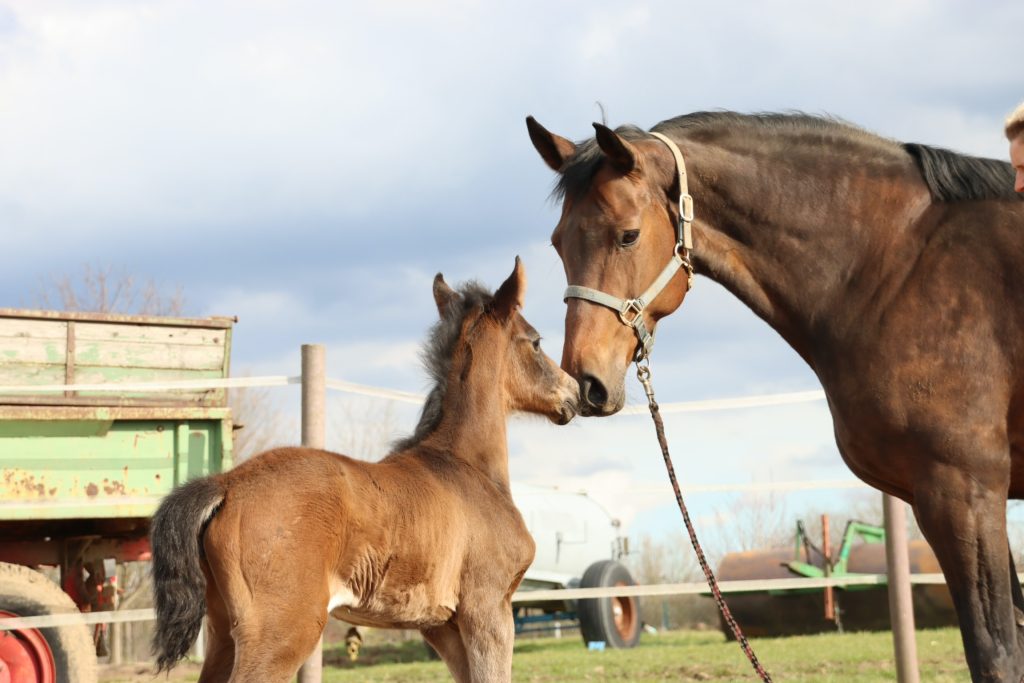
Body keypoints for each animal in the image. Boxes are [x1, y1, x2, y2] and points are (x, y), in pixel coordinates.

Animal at [149, 258, 578, 683]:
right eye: (536, 341)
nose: (574, 391)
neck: (466, 466)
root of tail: (226, 484)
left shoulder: (440, 625)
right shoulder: (487, 608)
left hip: (223, 630)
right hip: (281, 632)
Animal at [526, 111, 1024, 682]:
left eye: (627, 235)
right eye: (558, 242)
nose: (585, 383)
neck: (899, 266)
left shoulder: (964, 491)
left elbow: (996, 653)